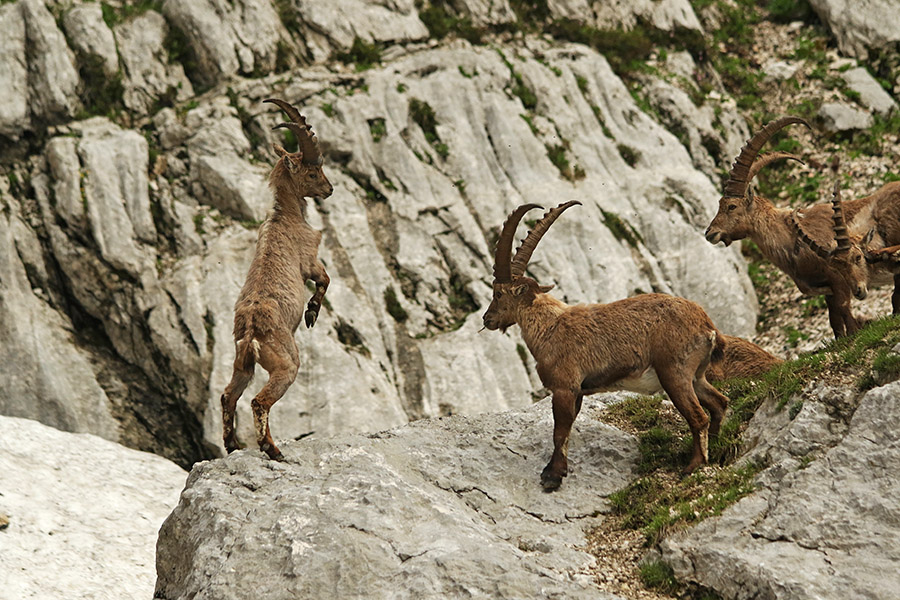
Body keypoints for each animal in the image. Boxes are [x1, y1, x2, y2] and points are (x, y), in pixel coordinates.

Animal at [220, 98, 334, 461]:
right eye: (312, 172)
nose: (329, 188)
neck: (286, 216)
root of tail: (251, 333)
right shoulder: (310, 259)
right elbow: (324, 280)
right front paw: (311, 313)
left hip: (242, 364)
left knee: (229, 395)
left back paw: (232, 445)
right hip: (285, 364)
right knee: (259, 401)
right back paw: (273, 449)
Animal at [482, 202, 730, 489]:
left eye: (498, 293)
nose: (487, 319)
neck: (549, 327)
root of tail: (707, 326)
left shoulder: (565, 387)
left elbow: (559, 432)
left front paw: (552, 477)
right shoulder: (578, 391)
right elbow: (567, 431)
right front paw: (557, 470)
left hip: (674, 373)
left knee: (698, 416)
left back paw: (693, 466)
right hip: (696, 376)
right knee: (719, 403)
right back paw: (716, 446)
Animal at [704, 116, 873, 338]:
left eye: (731, 206)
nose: (709, 232)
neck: (793, 237)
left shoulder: (839, 280)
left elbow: (846, 313)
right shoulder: (828, 290)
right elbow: (835, 322)